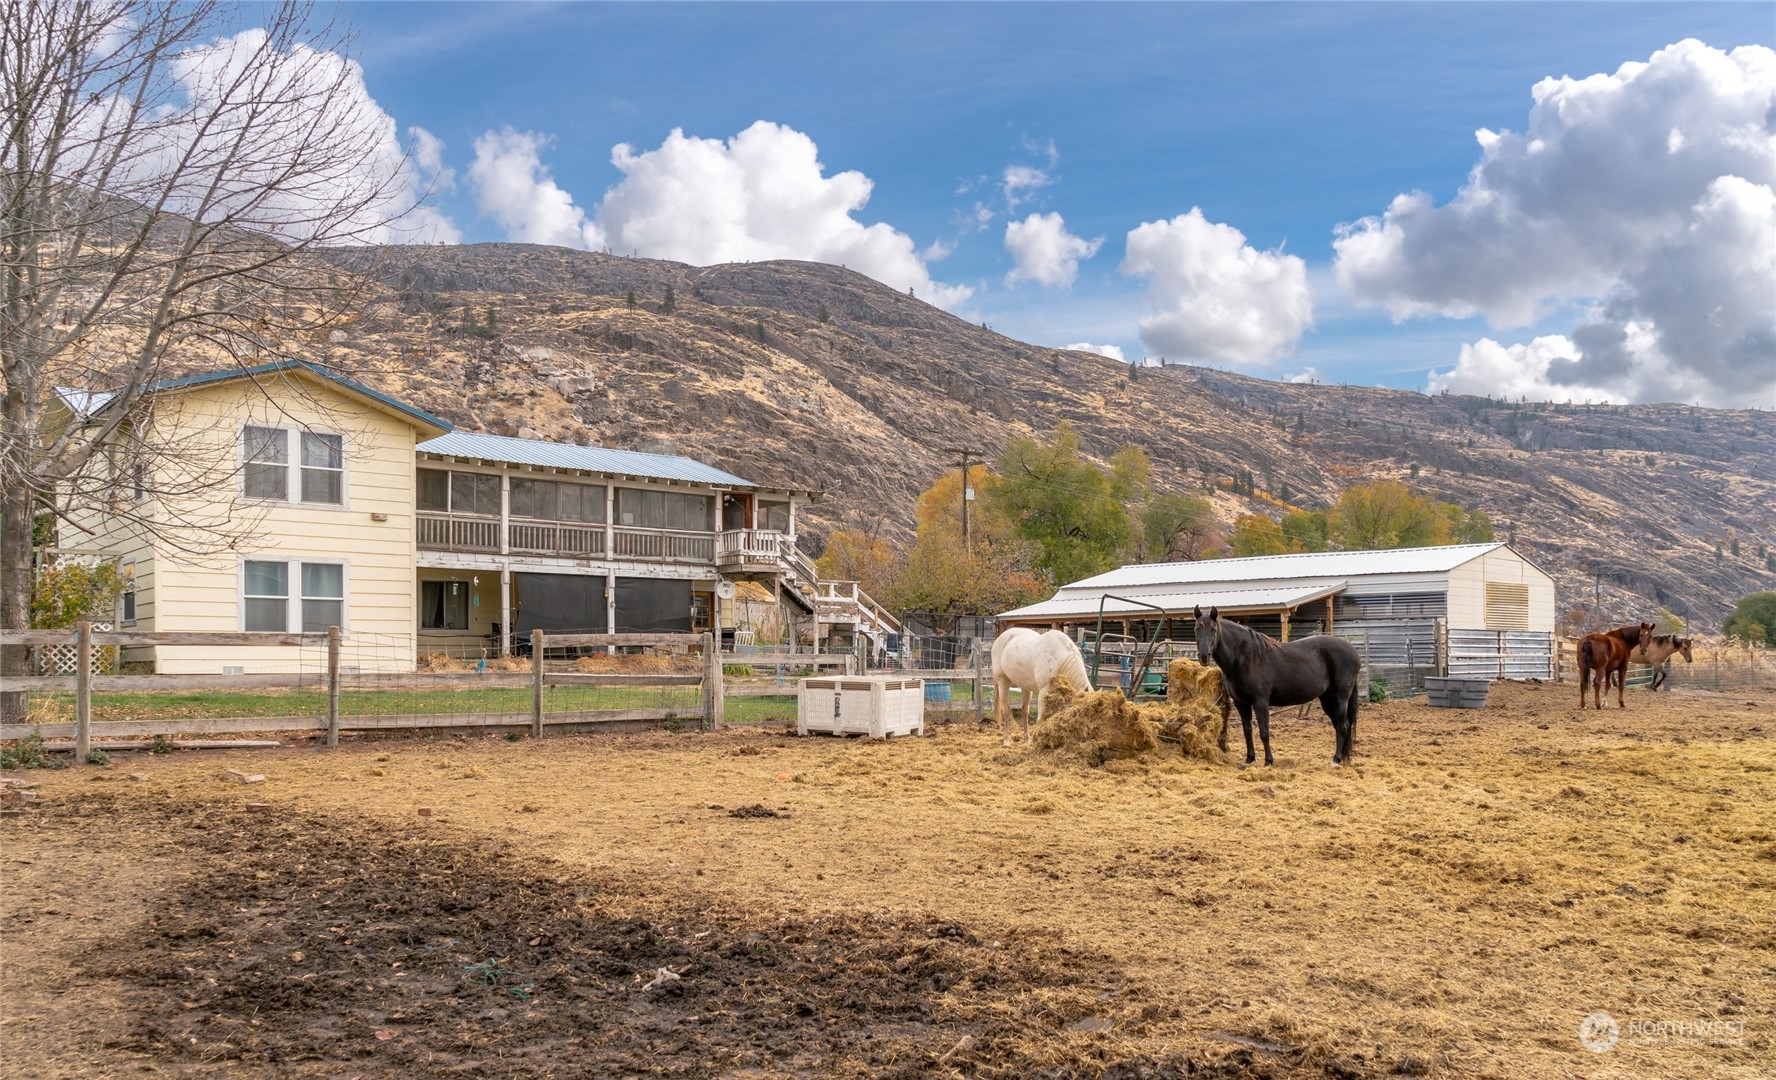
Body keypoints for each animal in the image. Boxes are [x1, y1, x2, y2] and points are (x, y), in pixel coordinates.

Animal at [1200, 607, 1363, 767]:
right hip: (1327, 699)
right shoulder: (1241, 703)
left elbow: (1264, 732)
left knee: (1343, 726)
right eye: (1197, 629)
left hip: (1340, 697)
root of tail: (1353, 651)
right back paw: (1341, 759)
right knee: (1338, 725)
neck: (1245, 658)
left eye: (1214, 629)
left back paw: (1336, 760)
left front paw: (1268, 761)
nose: (1203, 656)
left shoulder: (1260, 702)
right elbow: (1247, 730)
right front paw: (1249, 759)